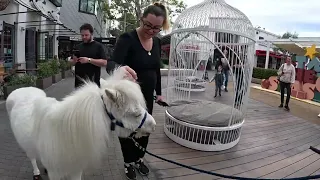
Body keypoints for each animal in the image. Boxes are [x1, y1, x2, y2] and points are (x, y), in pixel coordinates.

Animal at [6, 68, 156, 180]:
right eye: (135, 114)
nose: (153, 125)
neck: (67, 133)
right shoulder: (56, 173)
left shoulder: (76, 168)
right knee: (31, 157)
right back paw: (36, 173)